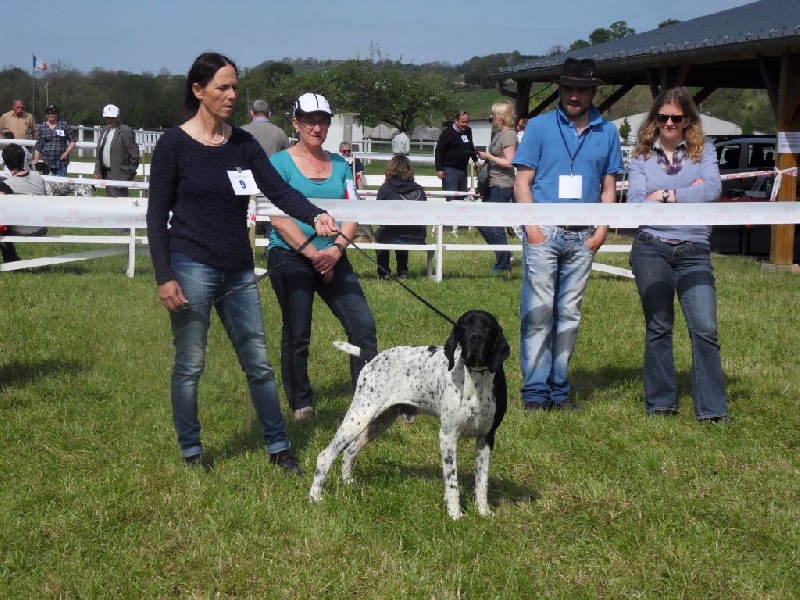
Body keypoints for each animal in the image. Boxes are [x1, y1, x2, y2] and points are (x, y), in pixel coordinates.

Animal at [310, 312, 510, 516]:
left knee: (349, 451)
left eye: (488, 326)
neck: (477, 380)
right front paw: (455, 514)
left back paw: (348, 483)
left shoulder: (486, 438)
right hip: (359, 417)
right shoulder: (448, 436)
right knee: (325, 456)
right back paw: (315, 496)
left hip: (379, 422)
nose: (475, 337)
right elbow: (452, 482)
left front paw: (483, 511)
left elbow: (481, 481)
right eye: (464, 325)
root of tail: (375, 357)